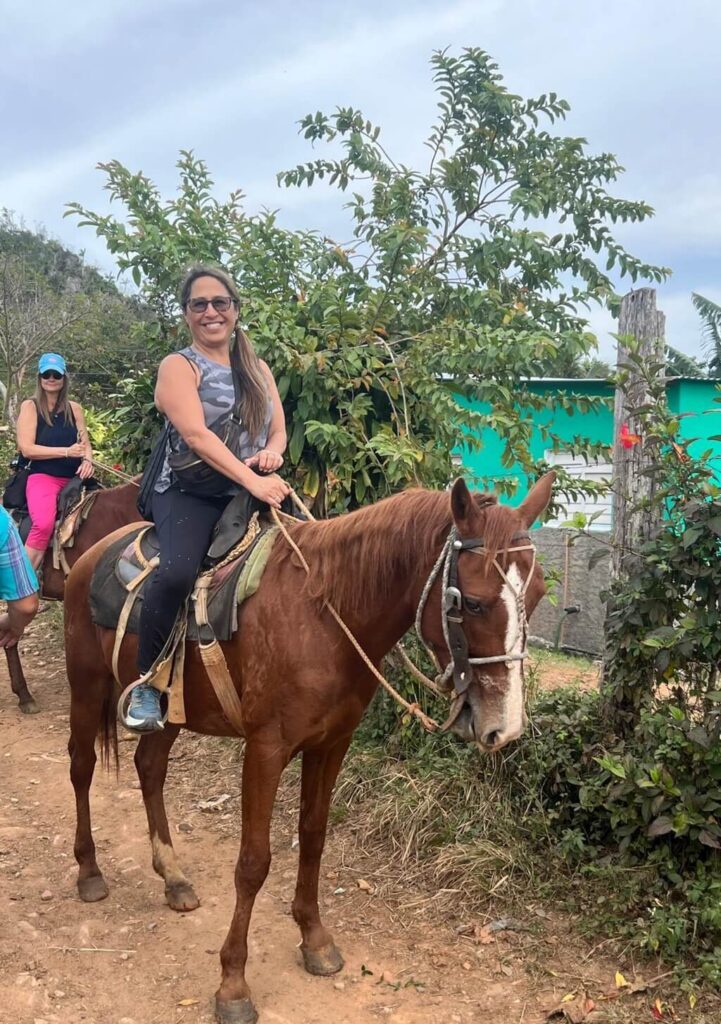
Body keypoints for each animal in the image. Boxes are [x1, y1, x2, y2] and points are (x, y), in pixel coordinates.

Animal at [66, 477, 553, 1024]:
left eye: (536, 594)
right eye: (471, 603)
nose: (504, 729)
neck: (324, 614)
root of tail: (92, 556)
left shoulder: (332, 744)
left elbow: (314, 837)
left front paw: (314, 938)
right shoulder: (265, 749)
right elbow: (253, 863)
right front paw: (233, 983)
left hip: (171, 710)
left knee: (150, 768)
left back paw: (173, 878)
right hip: (86, 685)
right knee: (82, 768)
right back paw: (89, 871)